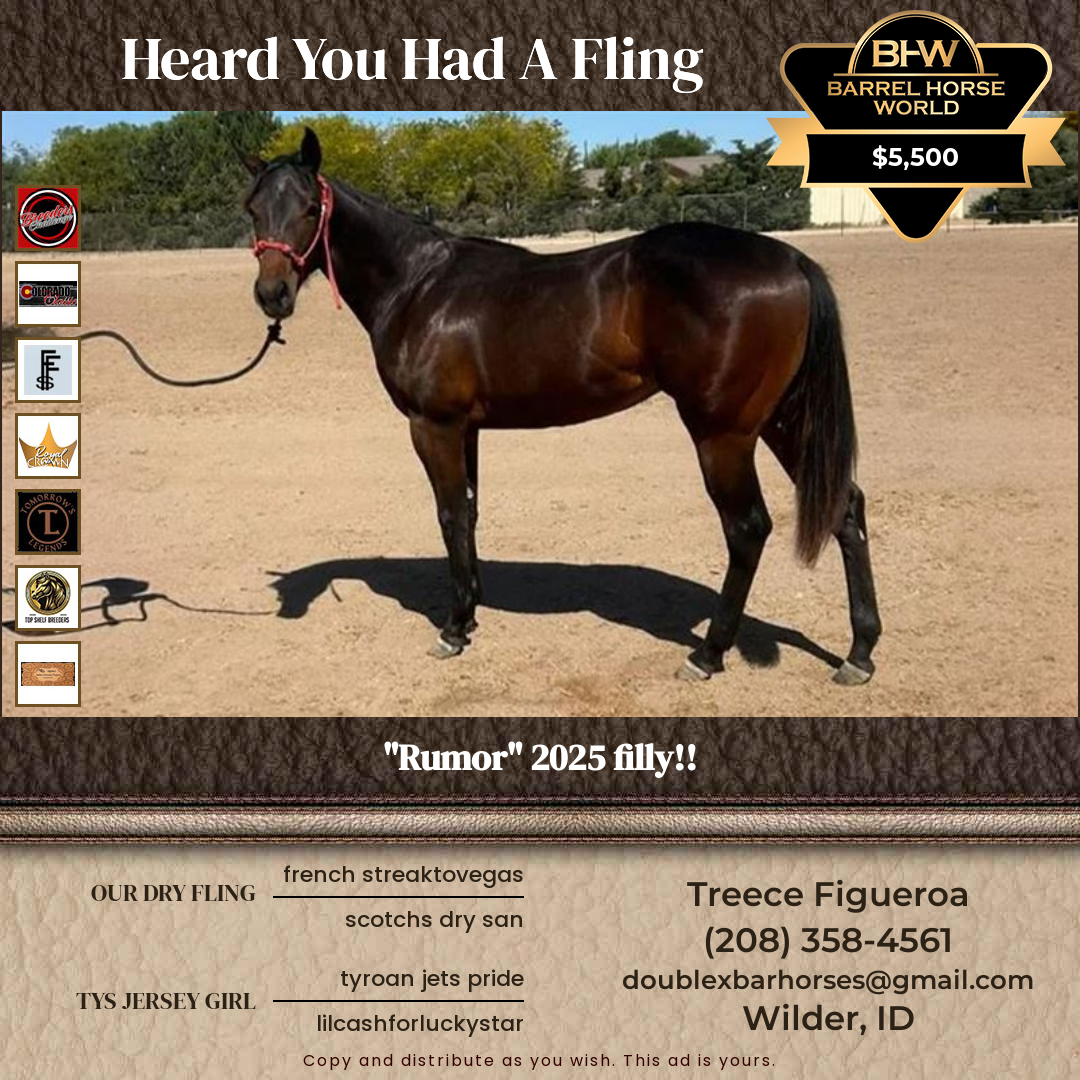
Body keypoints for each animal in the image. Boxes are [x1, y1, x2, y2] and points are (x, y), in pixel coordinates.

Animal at [244, 128, 881, 686]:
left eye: (309, 209)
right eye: (253, 210)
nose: (272, 295)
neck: (419, 283)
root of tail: (792, 261)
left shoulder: (434, 426)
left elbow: (449, 515)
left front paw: (453, 629)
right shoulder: (467, 428)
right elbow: (469, 512)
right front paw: (471, 613)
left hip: (722, 432)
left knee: (747, 527)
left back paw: (708, 654)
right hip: (781, 420)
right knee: (844, 506)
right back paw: (859, 653)